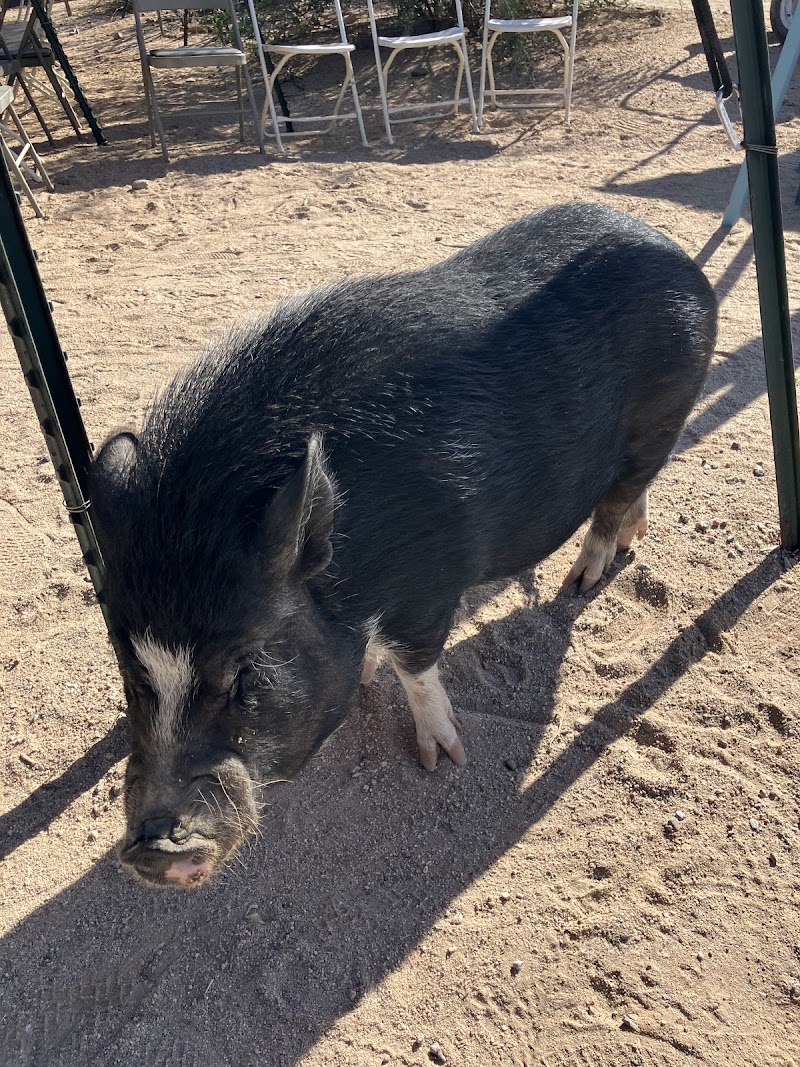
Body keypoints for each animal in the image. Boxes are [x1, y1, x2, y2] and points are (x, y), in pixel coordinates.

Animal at [89, 202, 717, 888]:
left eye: (246, 671)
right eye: (132, 672)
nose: (150, 849)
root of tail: (673, 252)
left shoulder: (430, 590)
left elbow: (415, 665)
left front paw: (441, 759)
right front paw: (368, 675)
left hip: (665, 414)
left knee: (617, 499)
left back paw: (580, 582)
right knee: (632, 492)